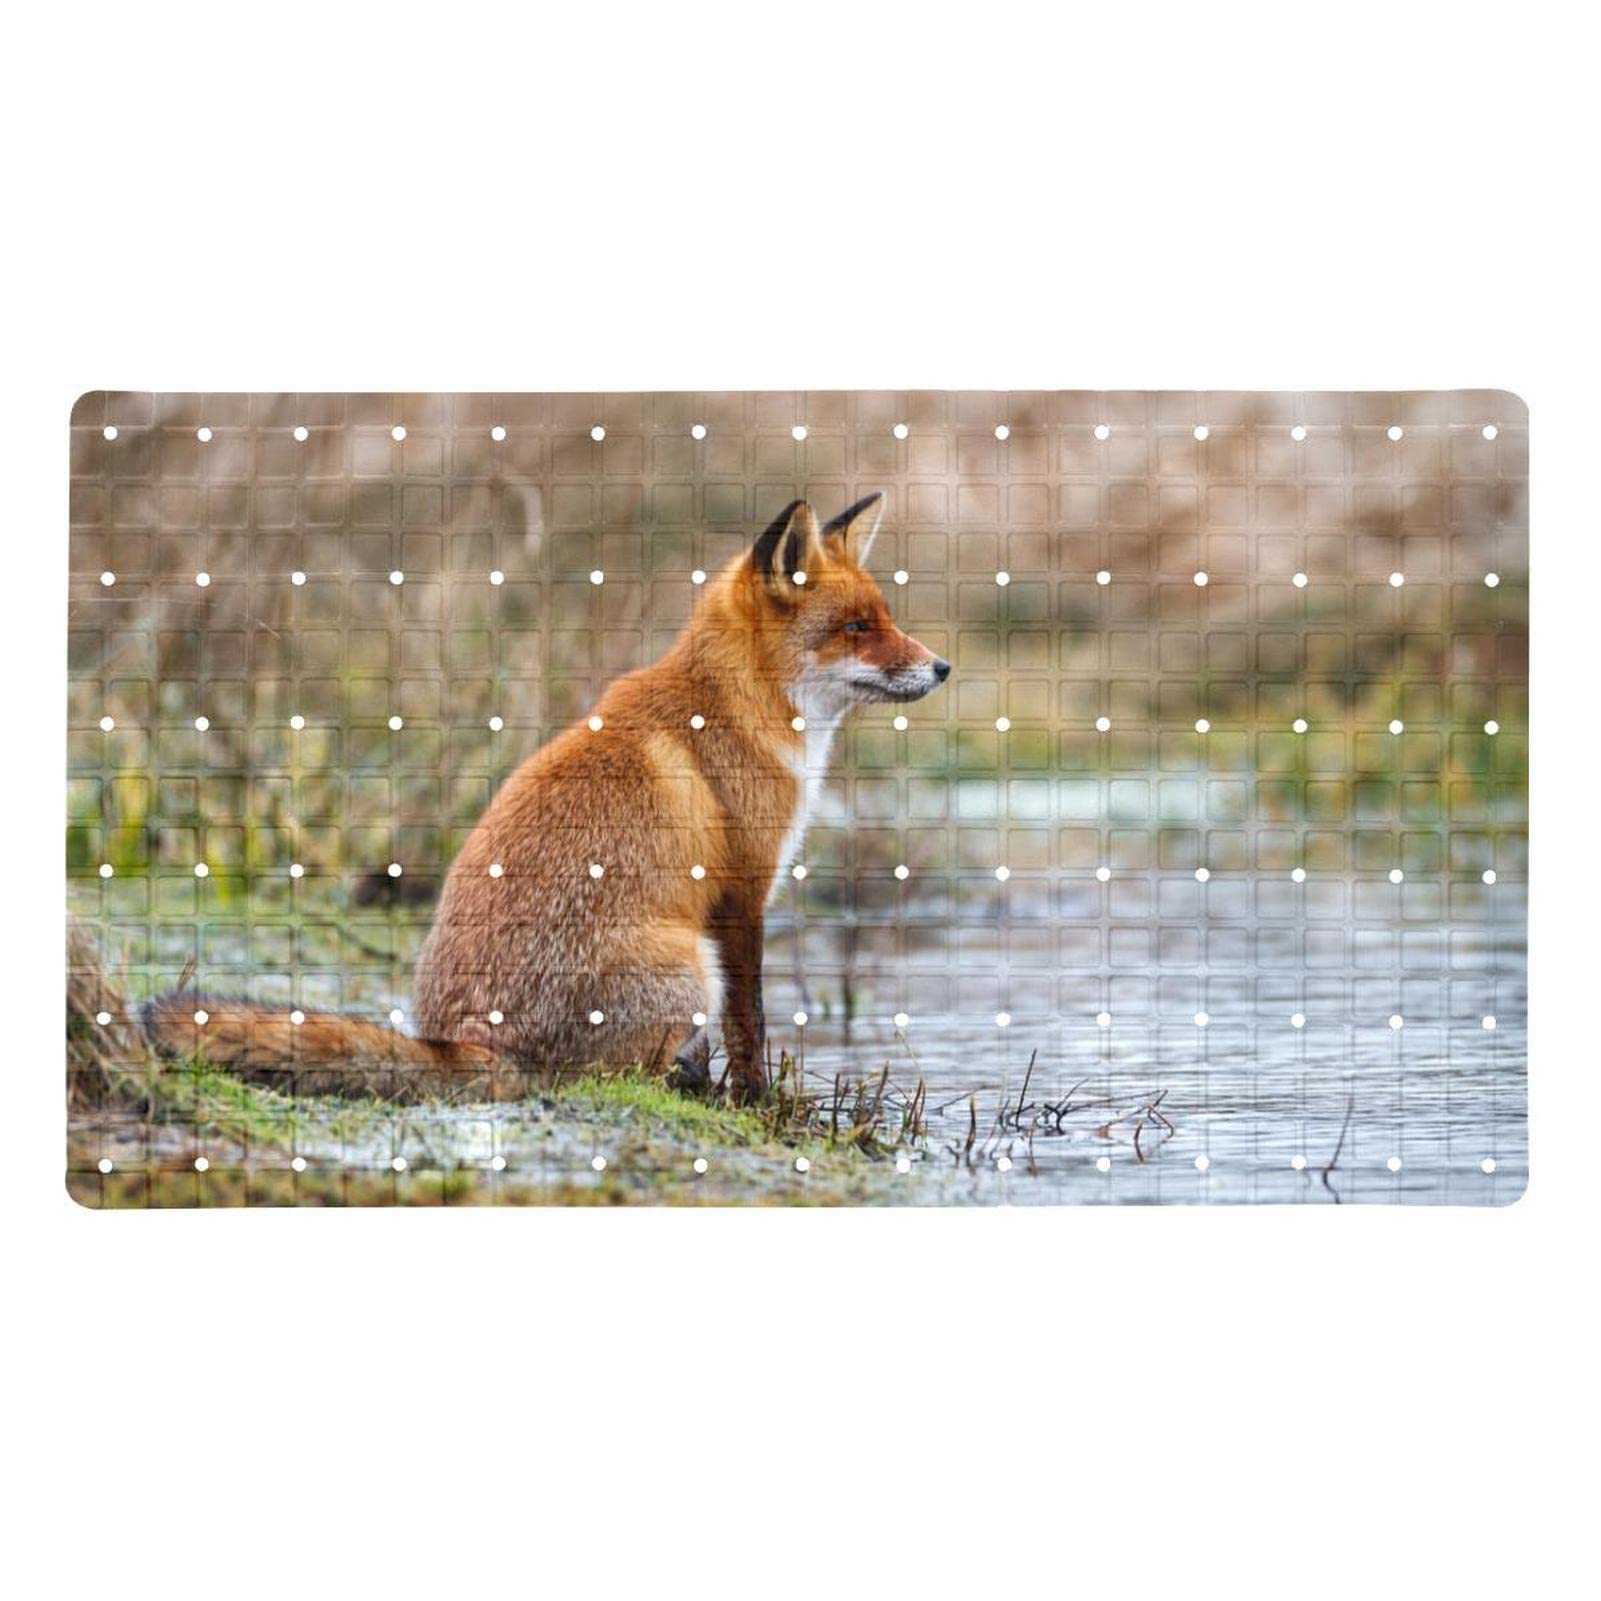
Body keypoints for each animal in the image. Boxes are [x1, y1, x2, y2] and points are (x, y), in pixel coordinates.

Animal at [143, 493, 949, 1102]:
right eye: (856, 627)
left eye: (885, 617)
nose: (942, 667)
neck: (737, 707)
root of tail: (474, 1041)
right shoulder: (740, 896)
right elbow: (750, 1022)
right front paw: (758, 1097)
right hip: (689, 962)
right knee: (611, 1076)